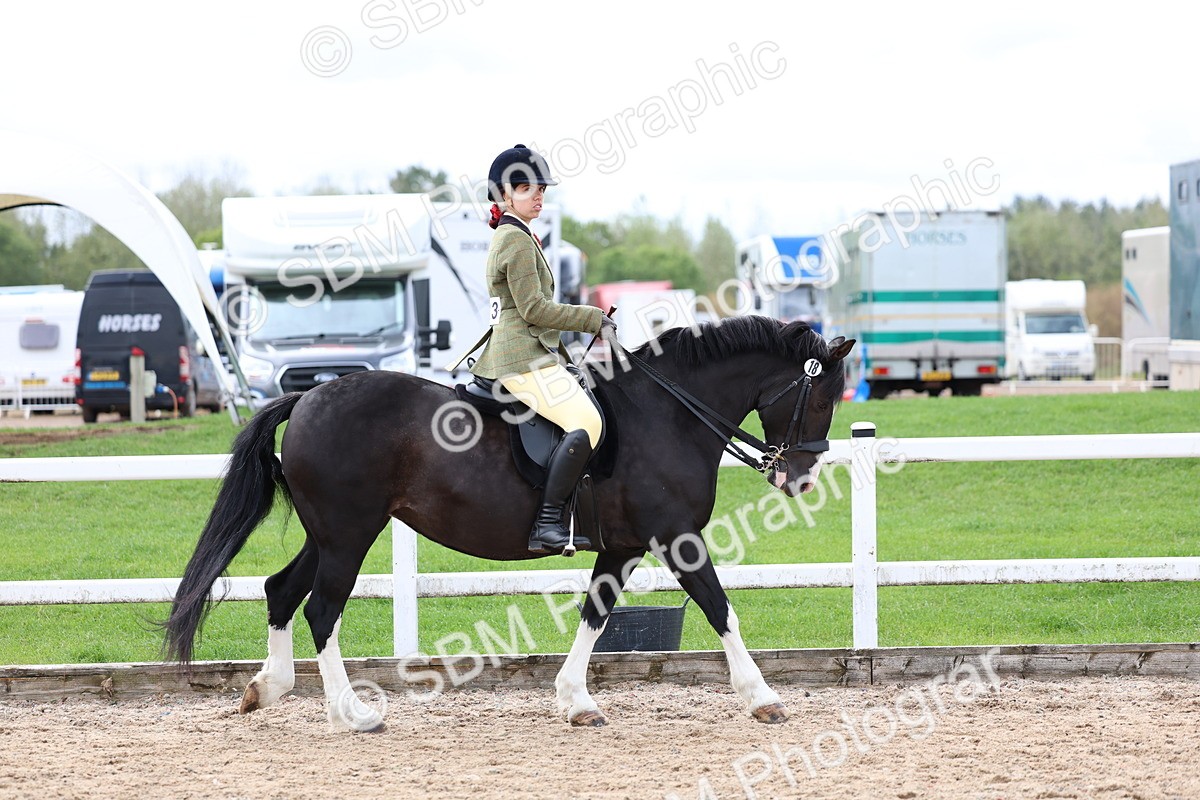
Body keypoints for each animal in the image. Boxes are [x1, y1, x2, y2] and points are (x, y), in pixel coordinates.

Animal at [164, 315, 855, 731]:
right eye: (822, 397)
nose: (800, 479)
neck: (669, 413)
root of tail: (307, 395)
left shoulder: (624, 546)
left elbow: (595, 615)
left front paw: (577, 702)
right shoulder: (677, 538)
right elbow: (720, 608)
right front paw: (763, 699)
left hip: (332, 533)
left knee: (282, 590)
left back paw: (268, 689)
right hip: (349, 533)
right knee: (321, 609)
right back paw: (353, 713)